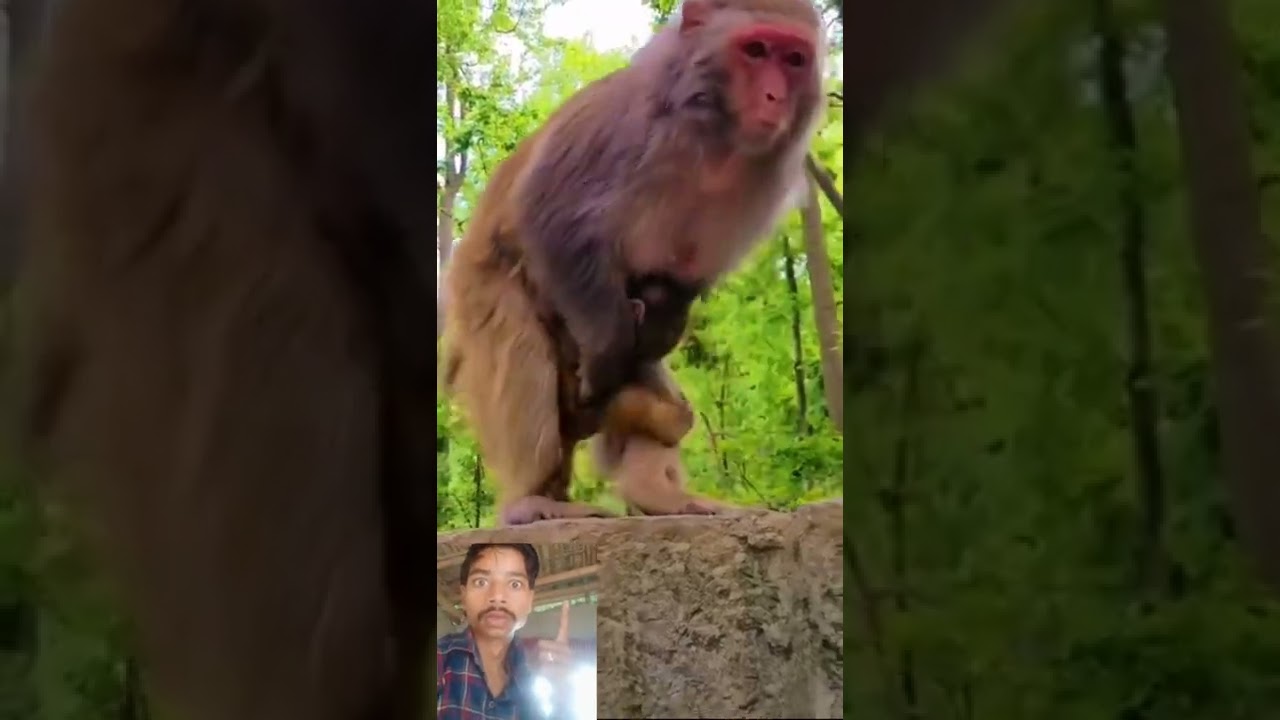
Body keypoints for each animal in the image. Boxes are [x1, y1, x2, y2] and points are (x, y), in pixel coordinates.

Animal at [440, 0, 828, 526]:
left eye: (793, 59)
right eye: (755, 50)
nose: (773, 96)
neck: (710, 134)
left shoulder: (762, 183)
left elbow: (672, 292)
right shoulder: (622, 127)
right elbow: (550, 217)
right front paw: (606, 351)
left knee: (656, 393)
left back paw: (658, 492)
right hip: (480, 292)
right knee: (521, 350)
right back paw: (533, 499)